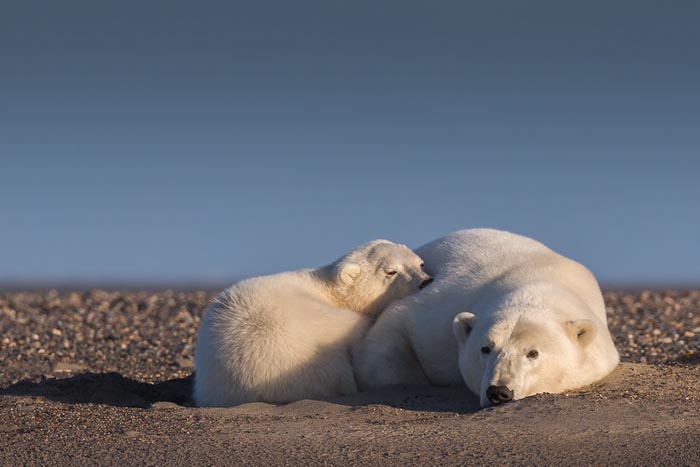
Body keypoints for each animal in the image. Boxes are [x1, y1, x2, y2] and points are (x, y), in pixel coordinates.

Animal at [356, 229, 616, 408]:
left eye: (533, 352)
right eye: (485, 348)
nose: (499, 392)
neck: (535, 282)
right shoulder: (438, 313)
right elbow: (396, 325)